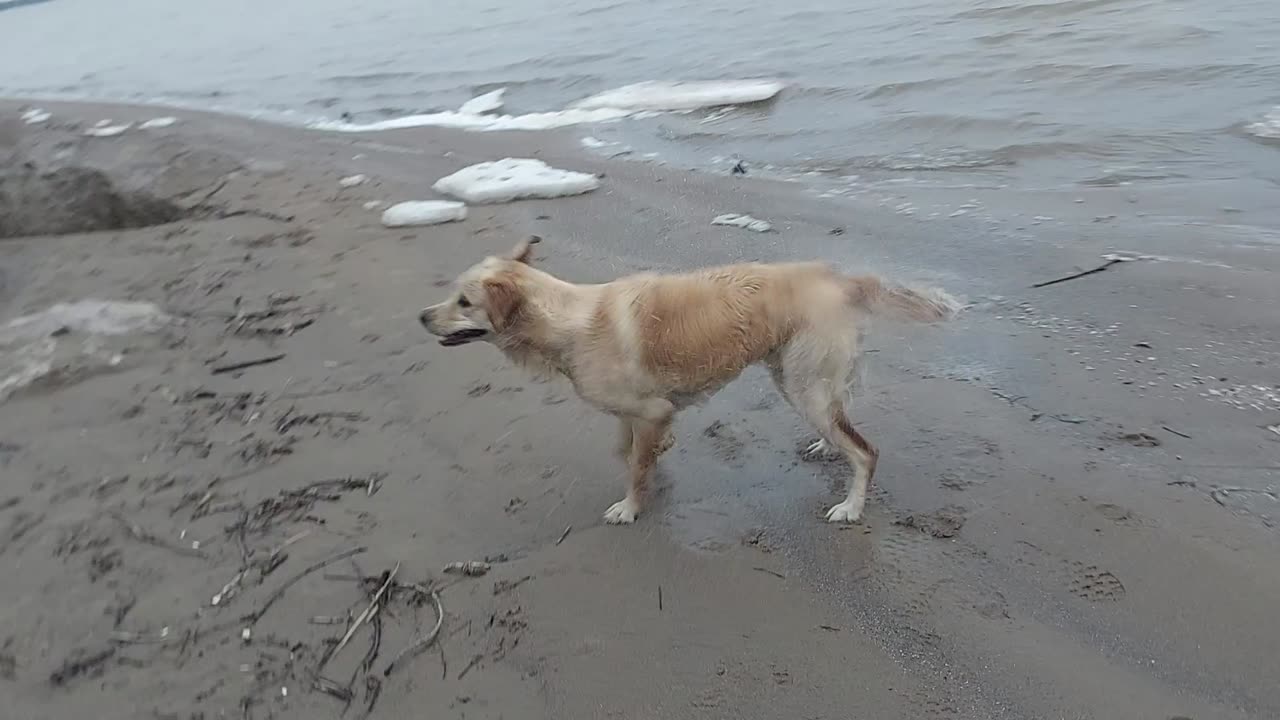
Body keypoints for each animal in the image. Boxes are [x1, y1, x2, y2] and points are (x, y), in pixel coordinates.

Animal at [419, 238, 962, 525]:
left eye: (464, 302)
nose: (422, 316)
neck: (568, 320)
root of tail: (840, 278)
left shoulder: (651, 411)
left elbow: (634, 465)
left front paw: (631, 506)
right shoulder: (637, 412)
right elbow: (628, 451)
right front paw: (654, 467)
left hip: (801, 384)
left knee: (865, 451)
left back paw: (850, 506)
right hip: (800, 377)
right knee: (840, 418)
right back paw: (827, 447)